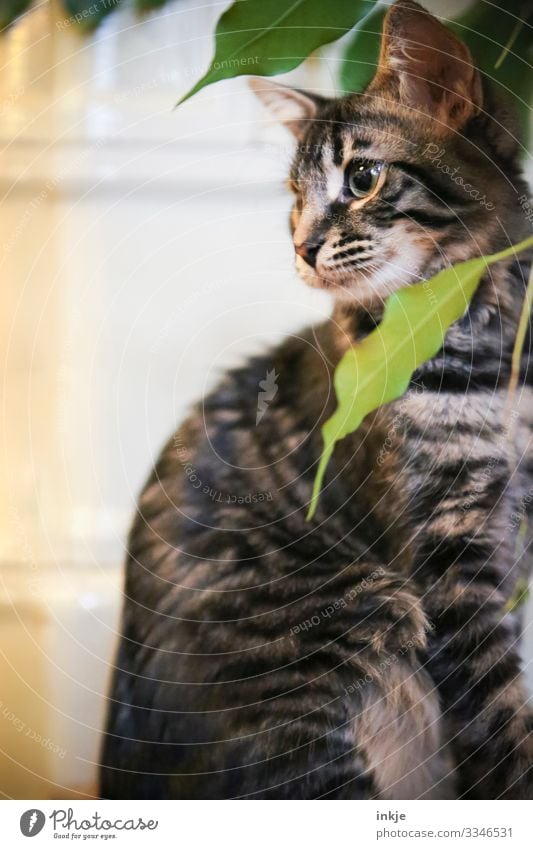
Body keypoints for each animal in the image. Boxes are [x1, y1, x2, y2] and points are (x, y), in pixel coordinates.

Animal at [101, 0, 532, 800]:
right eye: (295, 202)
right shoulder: (447, 543)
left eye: (361, 177)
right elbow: (494, 707)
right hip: (346, 623)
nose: (300, 248)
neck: (497, 357)